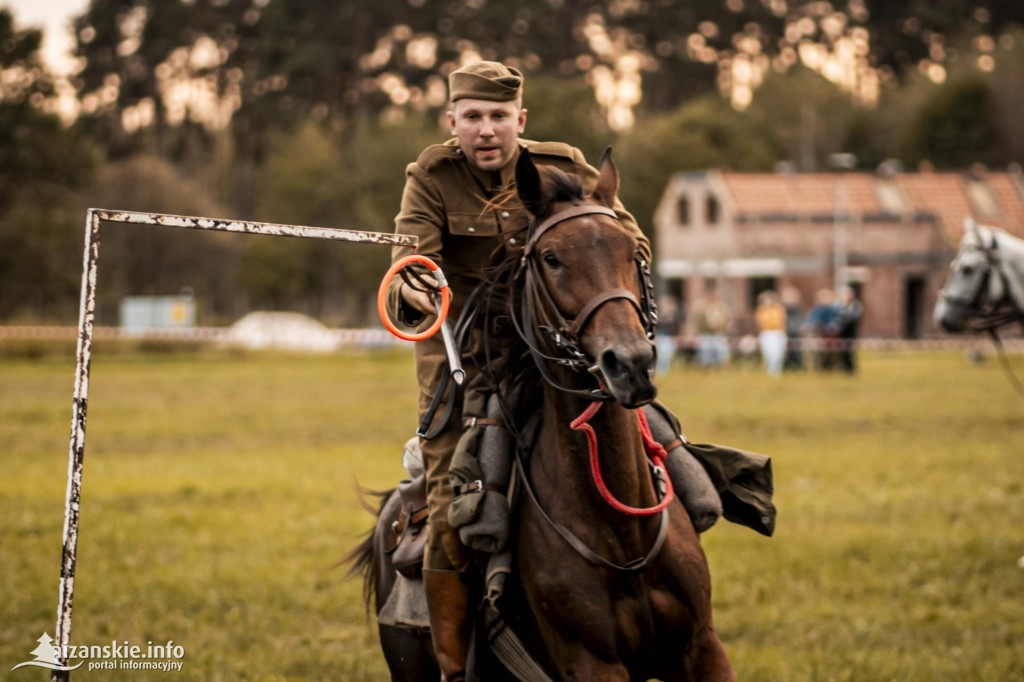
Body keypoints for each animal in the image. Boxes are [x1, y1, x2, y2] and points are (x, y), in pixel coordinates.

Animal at [348, 150, 733, 679]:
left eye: (631, 250)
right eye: (552, 258)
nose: (630, 364)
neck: (622, 534)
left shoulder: (702, 647)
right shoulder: (592, 662)